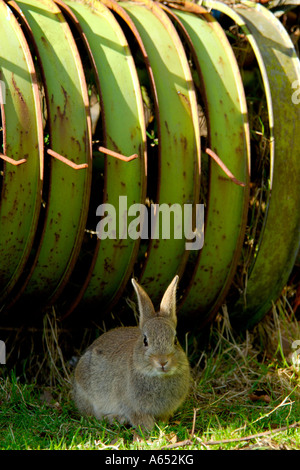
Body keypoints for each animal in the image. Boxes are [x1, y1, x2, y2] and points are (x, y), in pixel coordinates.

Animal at [72, 274, 190, 432]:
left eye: (175, 340)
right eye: (145, 341)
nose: (163, 361)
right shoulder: (133, 408)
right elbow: (141, 421)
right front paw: (150, 432)